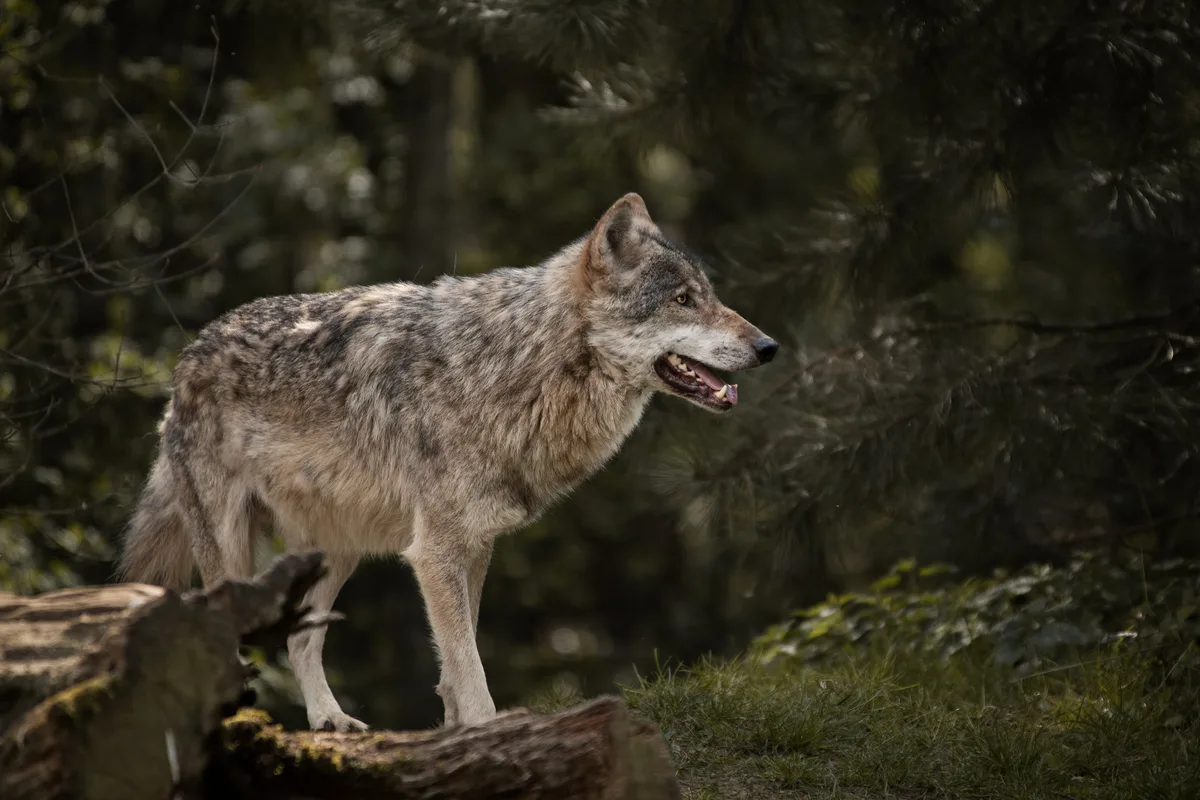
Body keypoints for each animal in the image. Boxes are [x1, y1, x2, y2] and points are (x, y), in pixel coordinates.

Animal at [117, 193, 778, 732]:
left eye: (710, 296)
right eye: (683, 300)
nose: (769, 347)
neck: (518, 365)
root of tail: (184, 363)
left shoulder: (474, 546)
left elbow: (458, 668)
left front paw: (458, 736)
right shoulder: (434, 553)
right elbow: (471, 671)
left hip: (337, 552)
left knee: (301, 644)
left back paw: (330, 720)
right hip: (232, 554)